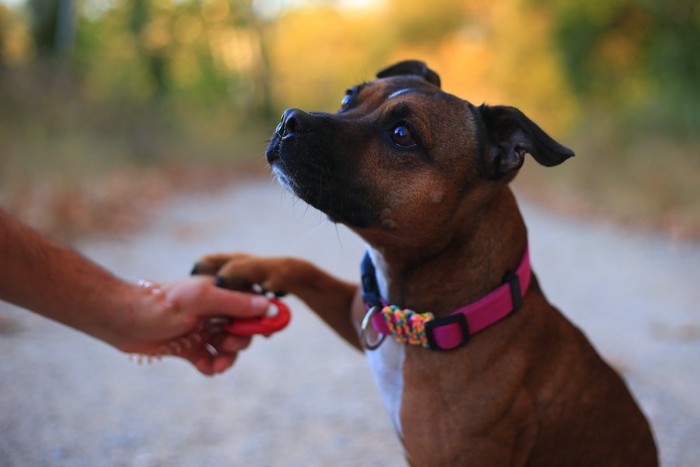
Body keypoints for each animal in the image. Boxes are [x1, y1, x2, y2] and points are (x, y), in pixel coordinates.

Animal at [194, 61, 660, 464]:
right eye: (349, 97)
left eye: (402, 134)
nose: (289, 119)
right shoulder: (358, 314)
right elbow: (304, 267)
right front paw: (239, 265)